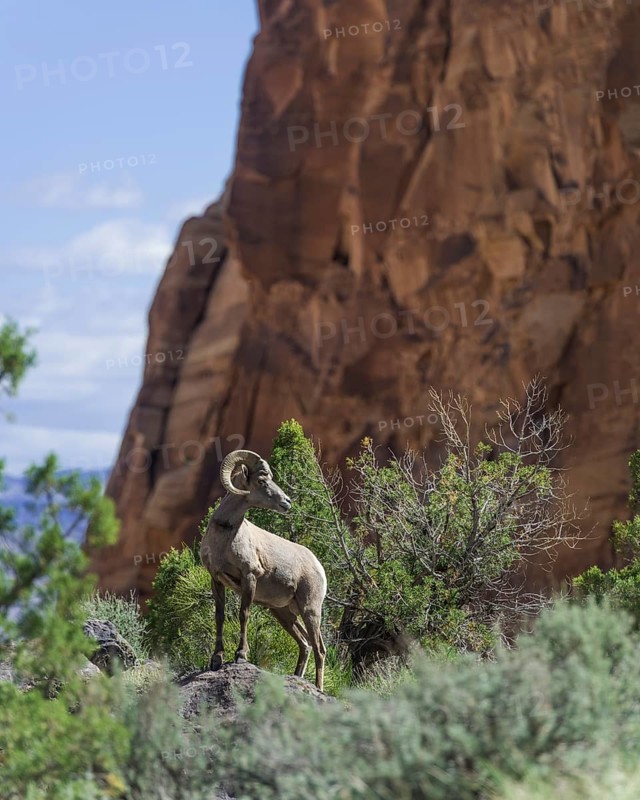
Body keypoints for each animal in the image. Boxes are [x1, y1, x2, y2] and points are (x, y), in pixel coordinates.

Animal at [200, 449, 327, 690]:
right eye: (261, 481)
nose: (287, 502)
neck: (225, 536)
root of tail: (318, 565)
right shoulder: (216, 579)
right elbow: (219, 616)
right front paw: (216, 659)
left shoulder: (249, 577)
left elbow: (244, 614)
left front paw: (241, 655)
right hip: (283, 613)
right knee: (305, 644)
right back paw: (296, 676)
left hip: (310, 610)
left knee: (320, 649)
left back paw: (318, 688)